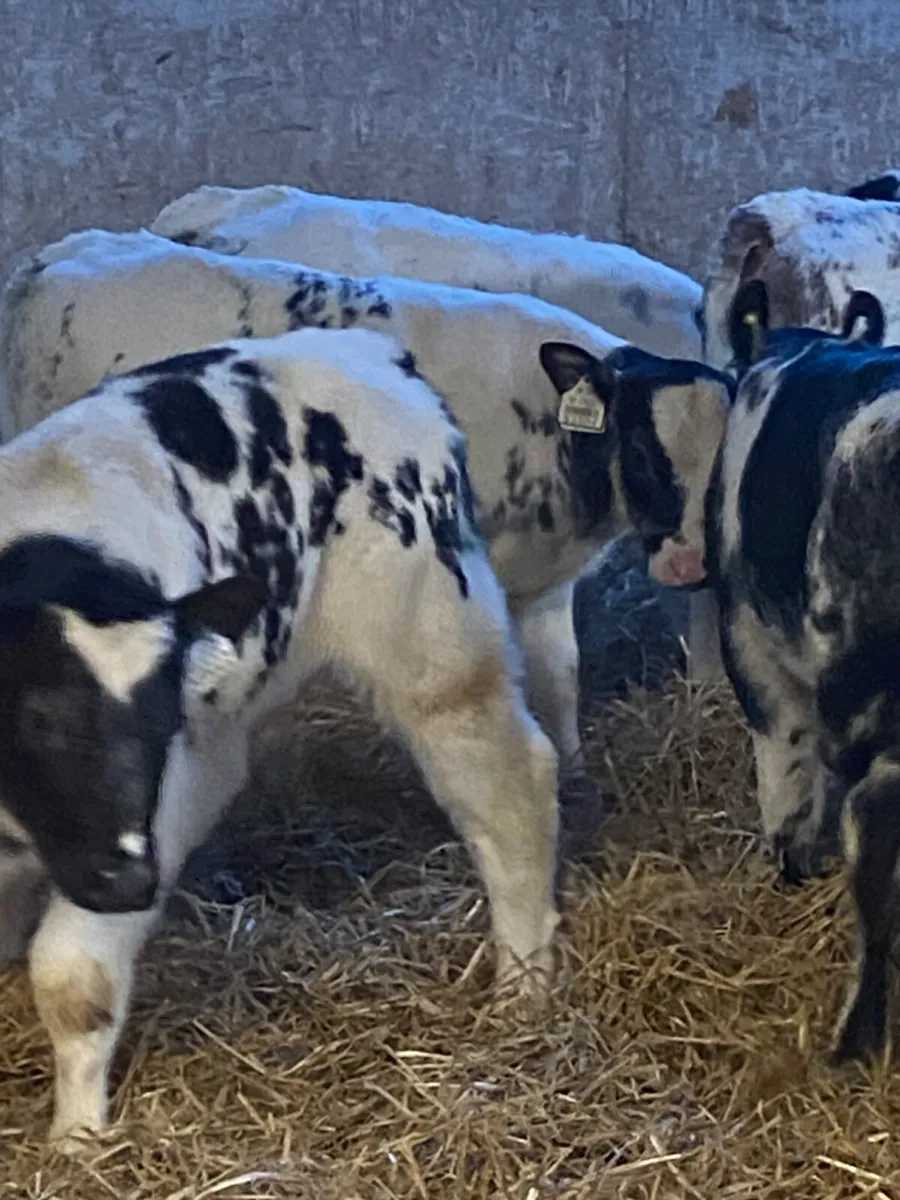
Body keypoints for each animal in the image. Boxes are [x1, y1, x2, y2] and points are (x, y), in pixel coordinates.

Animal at [0, 228, 729, 796]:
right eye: (643, 450)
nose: (692, 564)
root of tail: (62, 254)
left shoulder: (546, 582)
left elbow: (561, 675)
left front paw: (575, 773)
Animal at [0, 325, 563, 1147]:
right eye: (38, 717)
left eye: (162, 720)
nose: (130, 881)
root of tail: (364, 348)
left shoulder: (171, 793)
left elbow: (76, 981)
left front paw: (77, 1143)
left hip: (433, 645)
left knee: (511, 788)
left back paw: (522, 987)